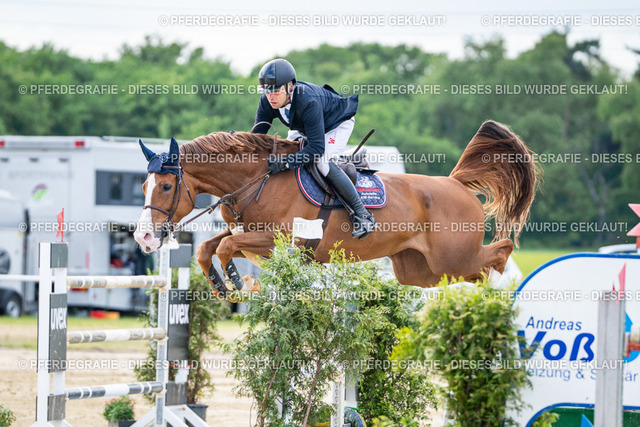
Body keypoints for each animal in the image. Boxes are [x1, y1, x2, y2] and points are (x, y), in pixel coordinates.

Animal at [133, 120, 539, 297]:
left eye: (166, 186)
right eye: (143, 186)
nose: (145, 238)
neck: (258, 180)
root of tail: (456, 183)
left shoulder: (280, 241)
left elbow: (226, 248)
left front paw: (236, 281)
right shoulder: (244, 232)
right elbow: (207, 248)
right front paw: (221, 285)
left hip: (452, 258)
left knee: (498, 253)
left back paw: (505, 288)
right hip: (420, 270)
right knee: (474, 269)